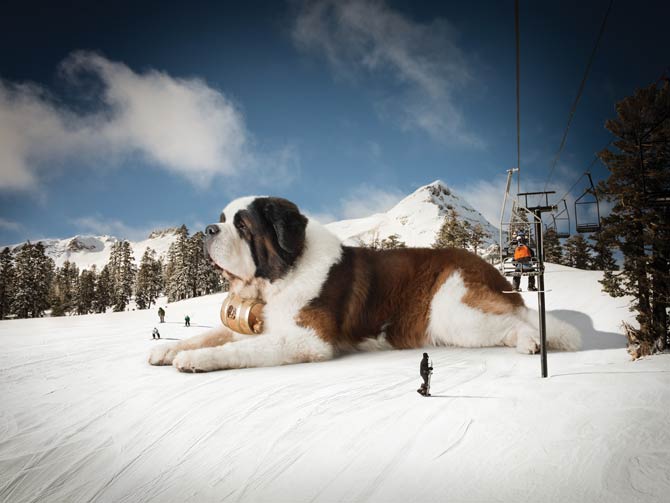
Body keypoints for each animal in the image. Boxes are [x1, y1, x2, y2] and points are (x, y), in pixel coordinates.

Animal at [150, 197, 580, 374]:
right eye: (222, 219)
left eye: (242, 225)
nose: (208, 230)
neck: (282, 273)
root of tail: (488, 268)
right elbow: (212, 335)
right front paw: (168, 350)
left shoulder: (307, 340)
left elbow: (239, 348)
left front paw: (194, 360)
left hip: (454, 312)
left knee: (516, 322)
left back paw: (531, 341)